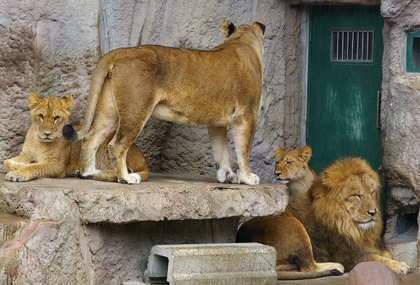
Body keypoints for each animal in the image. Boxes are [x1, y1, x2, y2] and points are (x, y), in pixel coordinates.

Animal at [4, 93, 148, 182]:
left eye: (56, 118)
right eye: (41, 116)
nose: (47, 134)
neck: (38, 141)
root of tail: (144, 161)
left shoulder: (56, 165)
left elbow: (34, 167)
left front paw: (18, 173)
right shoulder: (25, 155)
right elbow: (7, 162)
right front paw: (19, 165)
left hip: (106, 145)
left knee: (121, 173)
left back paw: (86, 173)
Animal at [63, 19, 266, 184]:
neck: (241, 41)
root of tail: (119, 52)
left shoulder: (216, 122)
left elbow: (221, 150)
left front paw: (227, 175)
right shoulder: (248, 116)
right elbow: (244, 150)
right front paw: (248, 178)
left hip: (110, 109)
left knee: (91, 137)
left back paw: (90, 173)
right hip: (136, 110)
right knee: (117, 144)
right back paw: (126, 178)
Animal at [240, 152, 410, 278]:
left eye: (372, 193)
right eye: (357, 196)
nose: (373, 212)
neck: (350, 225)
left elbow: (386, 254)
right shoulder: (349, 255)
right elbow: (377, 259)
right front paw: (400, 265)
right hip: (294, 225)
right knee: (308, 266)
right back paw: (335, 266)